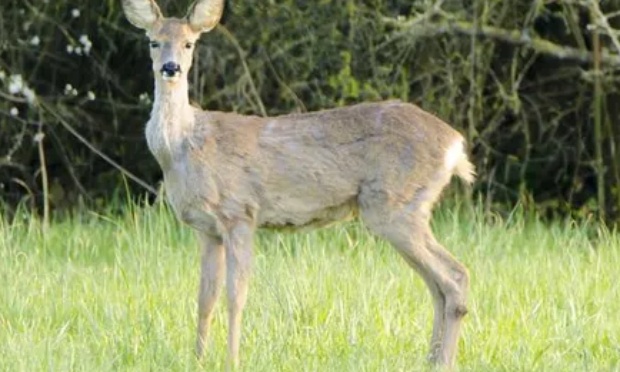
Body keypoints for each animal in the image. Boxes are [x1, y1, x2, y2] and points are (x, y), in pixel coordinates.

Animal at [122, 0, 474, 368]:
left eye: (189, 43)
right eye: (154, 41)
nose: (171, 67)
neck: (183, 146)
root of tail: (455, 144)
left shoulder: (239, 212)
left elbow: (236, 295)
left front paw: (233, 360)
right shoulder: (206, 229)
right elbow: (205, 298)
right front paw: (198, 360)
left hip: (395, 206)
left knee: (455, 276)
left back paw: (443, 361)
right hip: (405, 209)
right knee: (436, 285)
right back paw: (432, 359)